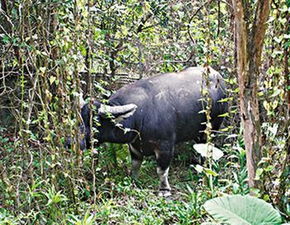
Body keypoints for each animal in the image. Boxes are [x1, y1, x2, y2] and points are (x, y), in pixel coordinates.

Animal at [78, 67, 227, 197]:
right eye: (81, 117)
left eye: (95, 121)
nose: (77, 143)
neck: (140, 116)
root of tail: (219, 79)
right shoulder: (134, 146)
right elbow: (135, 165)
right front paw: (133, 181)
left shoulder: (165, 146)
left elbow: (161, 170)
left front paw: (164, 189)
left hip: (213, 128)